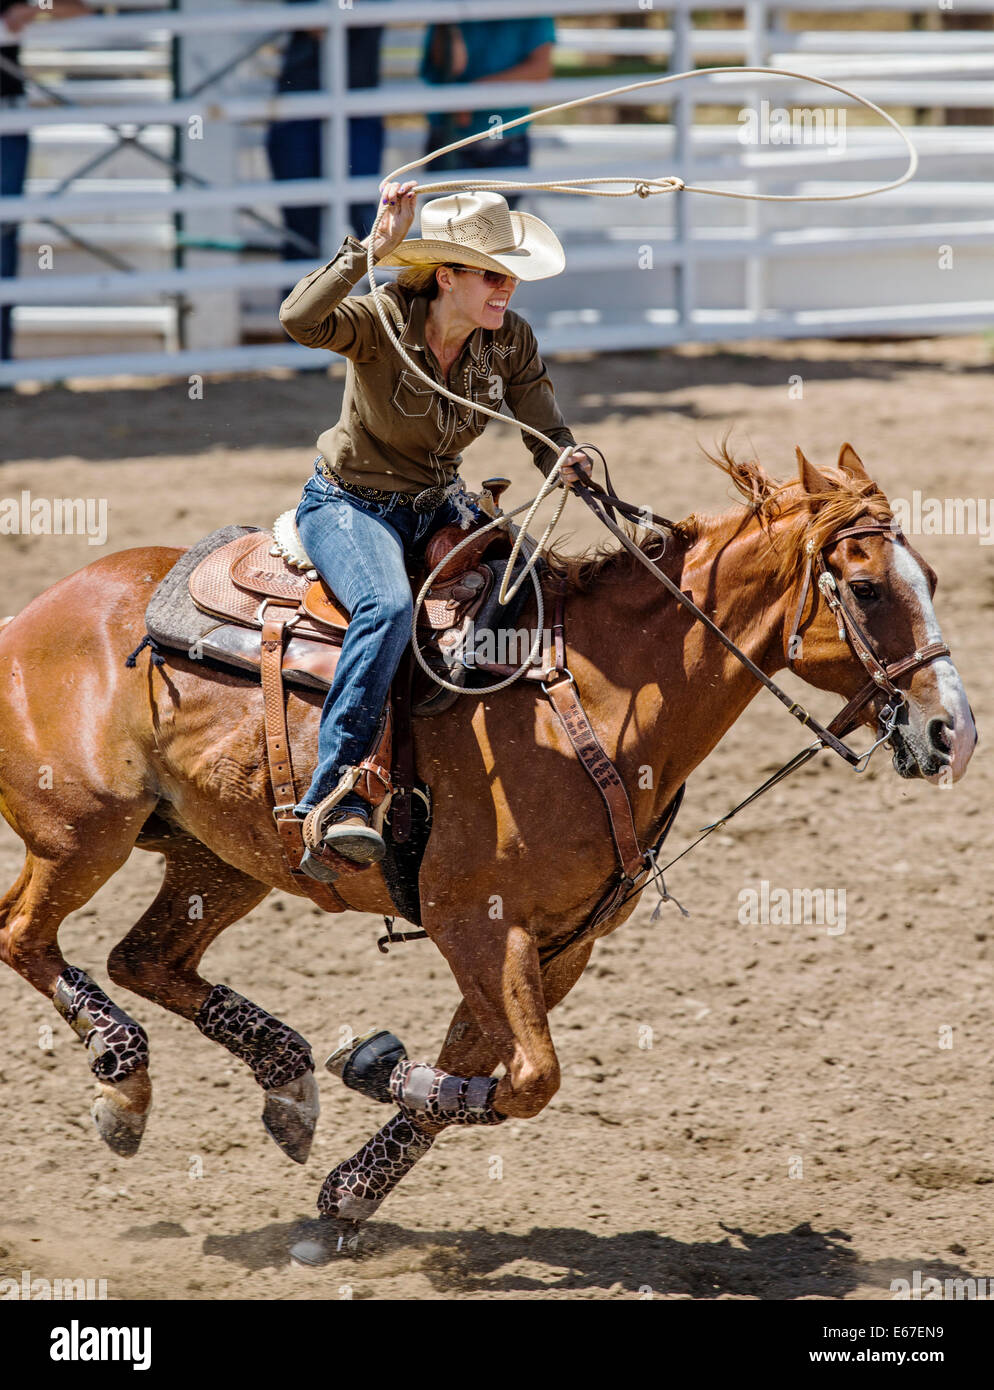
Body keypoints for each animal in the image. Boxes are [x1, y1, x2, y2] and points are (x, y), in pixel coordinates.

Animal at [0, 444, 978, 1239]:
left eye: (932, 575)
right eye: (866, 588)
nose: (954, 734)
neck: (592, 696)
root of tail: (28, 618)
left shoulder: (556, 945)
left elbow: (489, 1075)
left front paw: (349, 1191)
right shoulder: (475, 920)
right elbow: (531, 1077)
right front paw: (372, 1065)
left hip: (224, 857)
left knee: (143, 956)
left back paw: (283, 1082)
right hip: (84, 834)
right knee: (25, 935)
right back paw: (124, 1082)